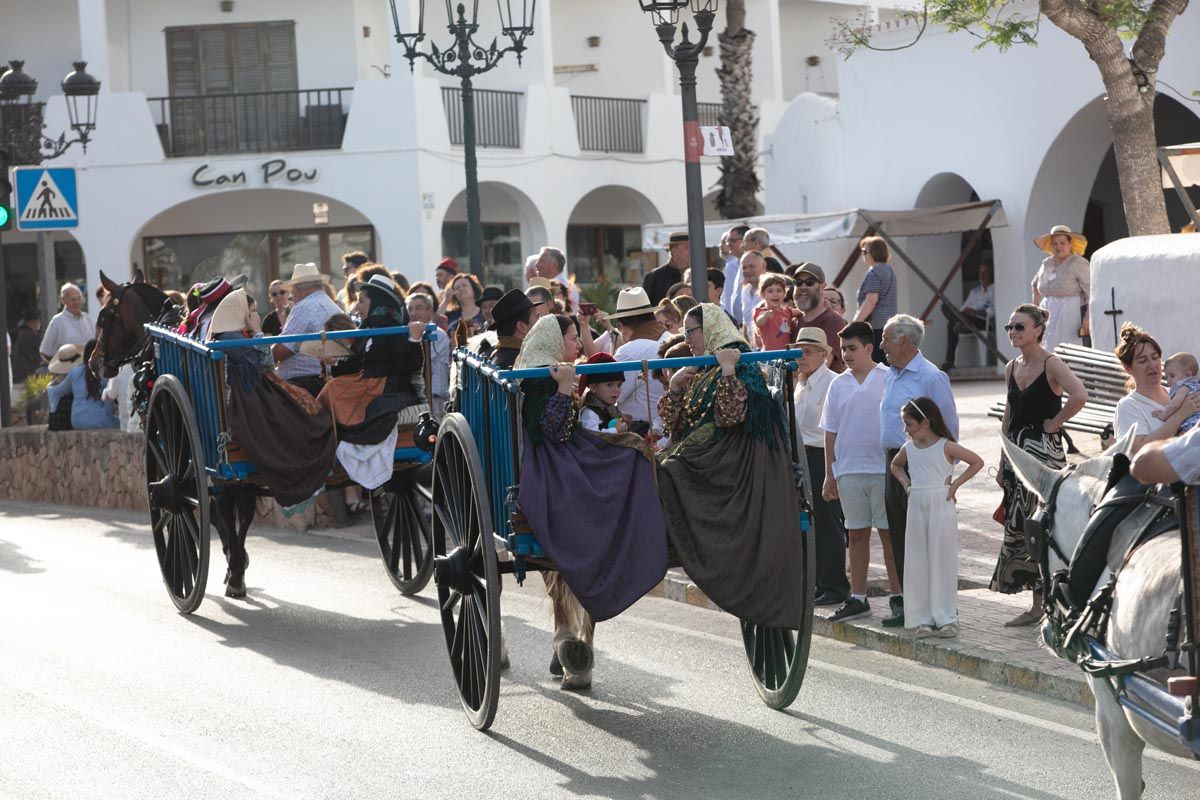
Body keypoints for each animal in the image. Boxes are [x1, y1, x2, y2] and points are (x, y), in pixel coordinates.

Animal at [94, 272, 260, 597]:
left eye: (104, 316)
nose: (93, 363)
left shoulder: (168, 440)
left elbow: (207, 506)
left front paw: (230, 562)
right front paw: (236, 561)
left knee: (224, 504)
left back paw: (232, 569)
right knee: (243, 504)